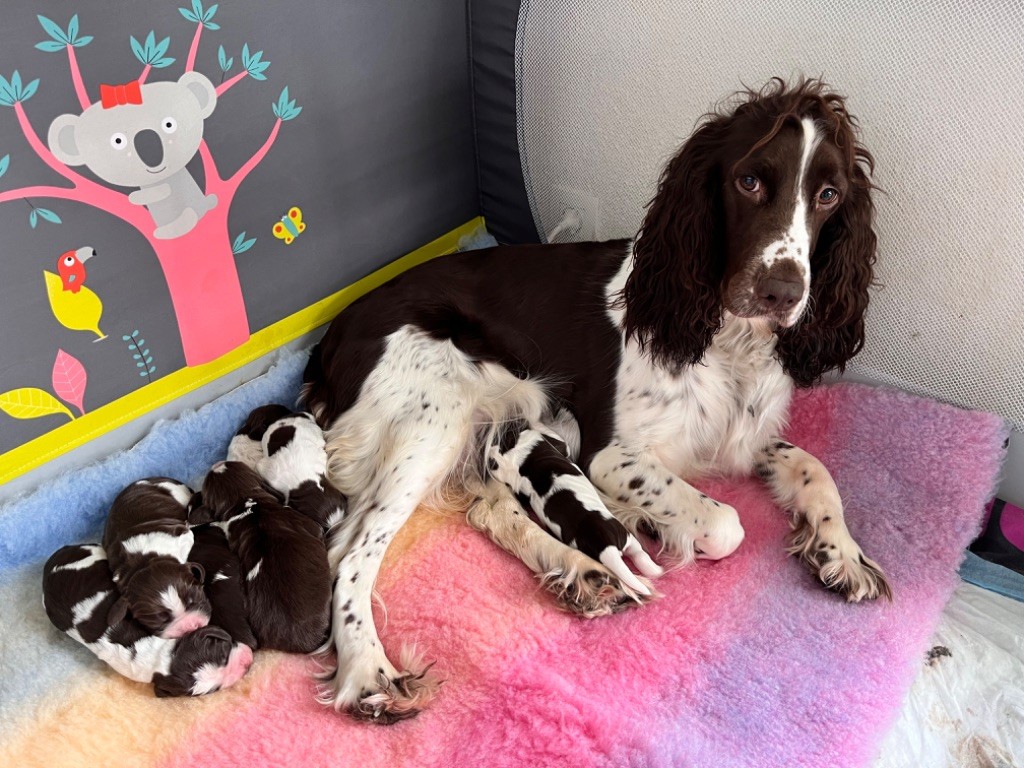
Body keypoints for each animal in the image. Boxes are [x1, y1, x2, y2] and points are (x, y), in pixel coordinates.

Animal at [102, 479, 210, 638]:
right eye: (159, 622)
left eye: (193, 601)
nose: (190, 626)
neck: (146, 562)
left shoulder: (183, 535)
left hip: (179, 493)